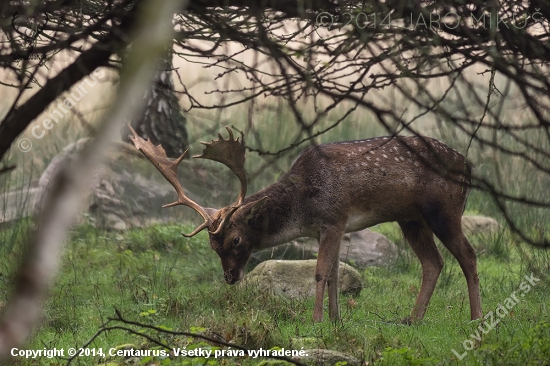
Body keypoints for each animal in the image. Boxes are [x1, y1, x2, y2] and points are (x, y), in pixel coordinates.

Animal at [129, 126, 484, 324]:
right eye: (212, 245)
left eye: (236, 240)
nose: (230, 277)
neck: (302, 208)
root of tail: (469, 165)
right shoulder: (331, 228)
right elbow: (336, 274)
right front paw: (336, 320)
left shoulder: (334, 219)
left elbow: (321, 272)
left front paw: (315, 320)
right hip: (410, 218)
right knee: (433, 262)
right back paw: (413, 319)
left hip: (445, 209)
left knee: (468, 255)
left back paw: (476, 317)